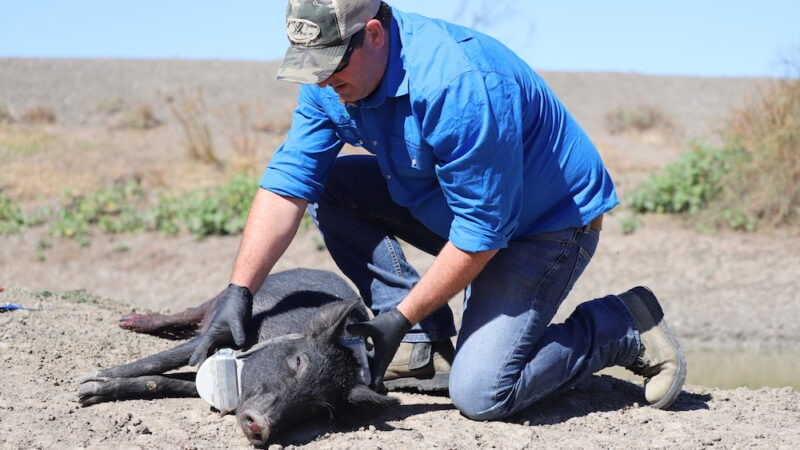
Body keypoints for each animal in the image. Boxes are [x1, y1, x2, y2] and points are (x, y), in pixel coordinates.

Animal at [78, 268, 396, 444]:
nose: (261, 424)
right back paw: (128, 322)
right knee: (189, 313)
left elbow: (165, 382)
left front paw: (91, 391)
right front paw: (86, 385)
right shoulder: (222, 335)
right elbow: (161, 360)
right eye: (298, 361)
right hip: (223, 299)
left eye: (321, 408)